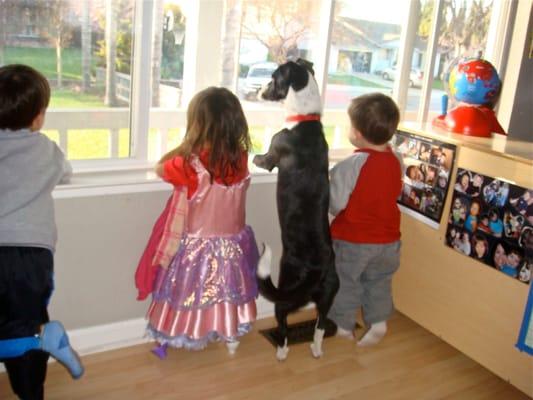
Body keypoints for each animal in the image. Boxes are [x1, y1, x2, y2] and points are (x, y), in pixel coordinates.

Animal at [252, 57, 336, 360]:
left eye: (273, 77)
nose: (257, 91)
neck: (305, 119)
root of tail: (316, 272)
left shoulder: (272, 154)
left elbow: (261, 158)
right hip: (328, 296)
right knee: (320, 326)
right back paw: (316, 349)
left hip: (285, 293)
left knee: (284, 324)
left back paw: (281, 350)